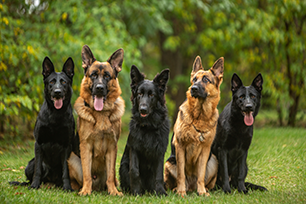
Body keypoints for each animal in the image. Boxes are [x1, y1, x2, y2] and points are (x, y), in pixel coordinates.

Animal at [11, 56, 75, 190]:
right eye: (51, 82)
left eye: (64, 82)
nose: (57, 92)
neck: (55, 115)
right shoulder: (38, 143)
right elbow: (38, 170)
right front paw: (34, 185)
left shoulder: (67, 146)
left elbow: (66, 171)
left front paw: (67, 187)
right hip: (30, 164)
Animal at [68, 45, 124, 196]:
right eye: (93, 75)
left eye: (107, 76)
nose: (99, 88)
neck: (101, 114)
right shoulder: (86, 146)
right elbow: (87, 174)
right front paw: (86, 191)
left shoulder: (112, 147)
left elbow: (110, 175)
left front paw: (113, 192)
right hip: (73, 160)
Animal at [119, 65, 170, 196]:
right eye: (140, 94)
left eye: (152, 95)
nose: (142, 109)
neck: (148, 126)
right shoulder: (134, 149)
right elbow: (134, 171)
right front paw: (136, 192)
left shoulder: (160, 152)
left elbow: (159, 174)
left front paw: (160, 192)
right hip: (123, 166)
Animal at [164, 55, 224, 196]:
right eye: (194, 79)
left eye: (206, 79)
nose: (194, 88)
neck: (199, 116)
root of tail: (191, 187)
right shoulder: (180, 147)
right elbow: (181, 174)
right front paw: (181, 192)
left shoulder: (205, 150)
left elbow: (201, 175)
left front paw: (202, 192)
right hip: (169, 162)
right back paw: (178, 189)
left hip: (214, 161)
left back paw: (203, 189)